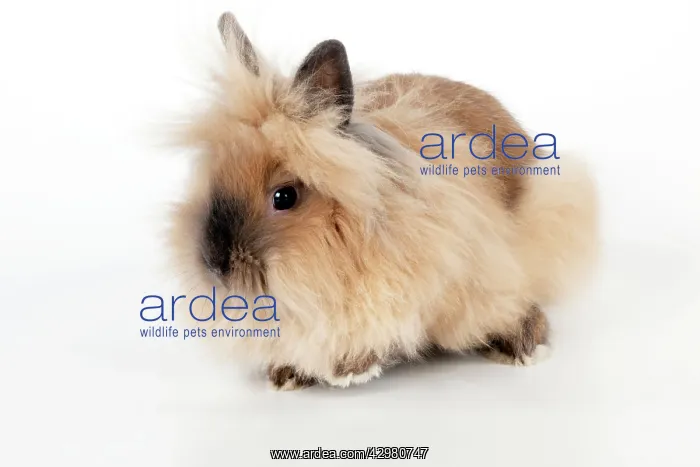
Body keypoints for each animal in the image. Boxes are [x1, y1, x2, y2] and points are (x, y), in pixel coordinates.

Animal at [167, 12, 599, 391]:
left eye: (284, 196)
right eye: (213, 178)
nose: (215, 265)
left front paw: (350, 369)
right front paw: (289, 373)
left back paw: (522, 345)